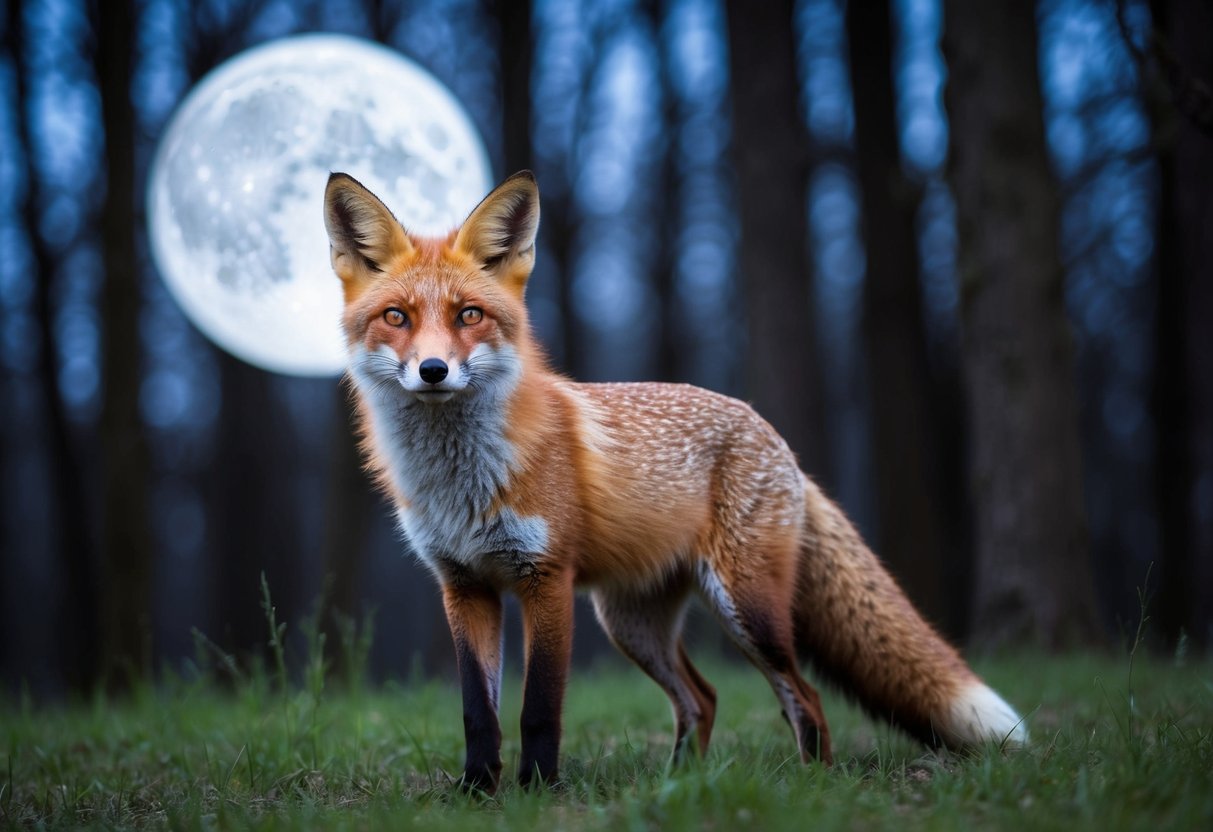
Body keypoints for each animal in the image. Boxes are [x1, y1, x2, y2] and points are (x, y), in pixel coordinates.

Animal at [322, 169, 1027, 793]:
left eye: (469, 315)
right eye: (396, 317)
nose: (433, 371)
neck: (462, 482)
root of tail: (775, 438)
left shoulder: (546, 579)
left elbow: (539, 709)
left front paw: (538, 792)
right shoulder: (464, 586)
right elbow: (478, 712)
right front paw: (475, 792)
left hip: (747, 609)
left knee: (805, 696)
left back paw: (811, 785)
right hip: (631, 623)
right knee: (704, 698)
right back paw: (681, 784)